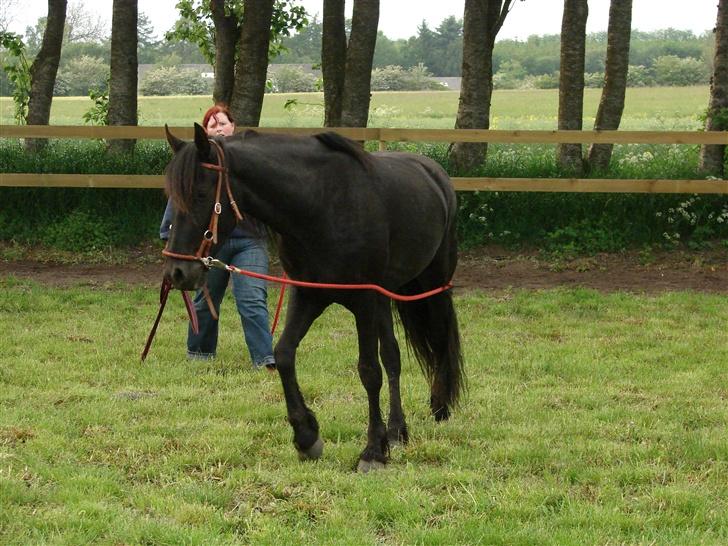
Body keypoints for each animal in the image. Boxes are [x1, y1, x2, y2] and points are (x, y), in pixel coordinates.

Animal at [162, 122, 464, 468]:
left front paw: (373, 450)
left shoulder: (363, 300)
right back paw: (397, 431)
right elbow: (283, 354)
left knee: (439, 339)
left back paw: (439, 405)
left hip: (429, 284)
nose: (177, 272)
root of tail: (434, 173)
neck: (320, 207)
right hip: (383, 299)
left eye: (200, 194)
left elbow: (368, 371)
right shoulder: (309, 296)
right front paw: (307, 437)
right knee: (393, 356)